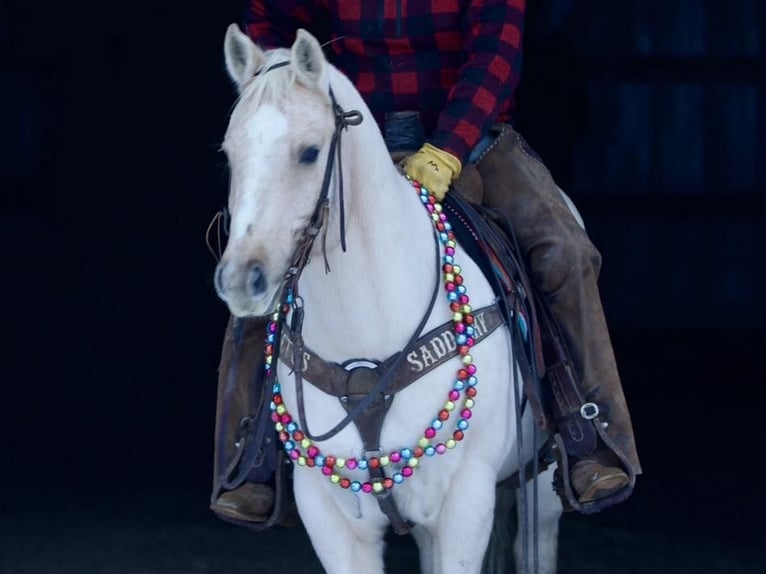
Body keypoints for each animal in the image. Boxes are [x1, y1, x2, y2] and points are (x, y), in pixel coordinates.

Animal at [216, 23, 564, 574]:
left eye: (310, 152)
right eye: (230, 154)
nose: (239, 280)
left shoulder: (464, 507)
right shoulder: (330, 516)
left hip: (542, 492)